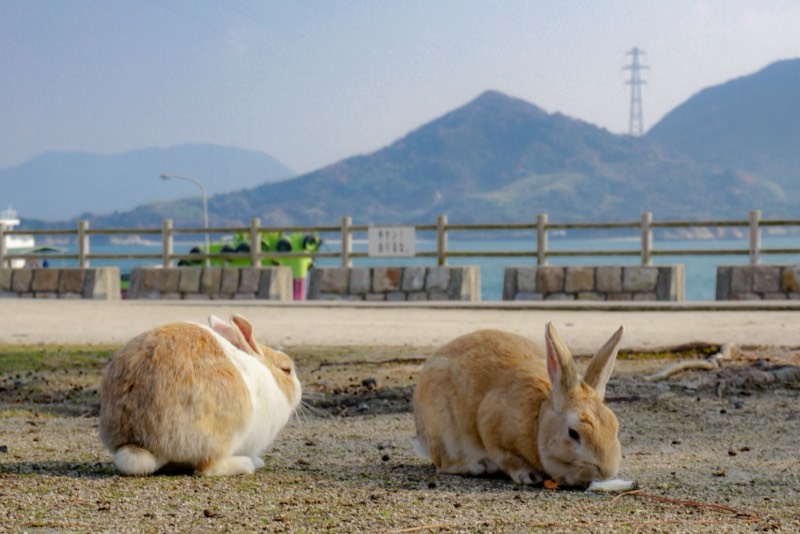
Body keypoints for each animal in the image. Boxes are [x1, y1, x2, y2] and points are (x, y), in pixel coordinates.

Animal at [98, 314, 302, 476]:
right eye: (287, 370)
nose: (300, 392)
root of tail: (137, 440)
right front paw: (257, 461)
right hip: (227, 431)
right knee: (207, 468)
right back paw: (246, 464)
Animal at [412, 322, 624, 488]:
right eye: (573, 433)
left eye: (615, 427)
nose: (605, 471)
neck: (538, 422)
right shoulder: (492, 429)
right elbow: (507, 458)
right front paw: (528, 476)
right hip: (444, 432)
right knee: (444, 464)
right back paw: (478, 467)